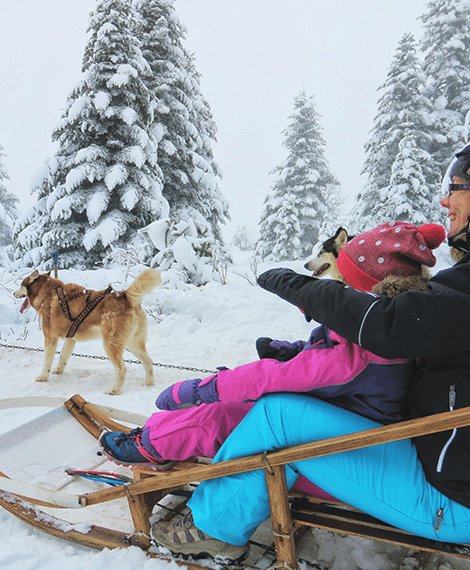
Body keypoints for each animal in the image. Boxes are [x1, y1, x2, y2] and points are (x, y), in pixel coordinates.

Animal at [13, 268, 161, 392]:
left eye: (21, 285)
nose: (14, 293)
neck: (48, 294)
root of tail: (126, 297)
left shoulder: (50, 338)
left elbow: (47, 362)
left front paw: (43, 377)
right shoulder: (70, 339)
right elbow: (62, 357)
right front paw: (58, 370)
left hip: (110, 345)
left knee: (122, 369)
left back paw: (114, 390)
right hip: (133, 343)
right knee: (148, 362)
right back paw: (148, 383)